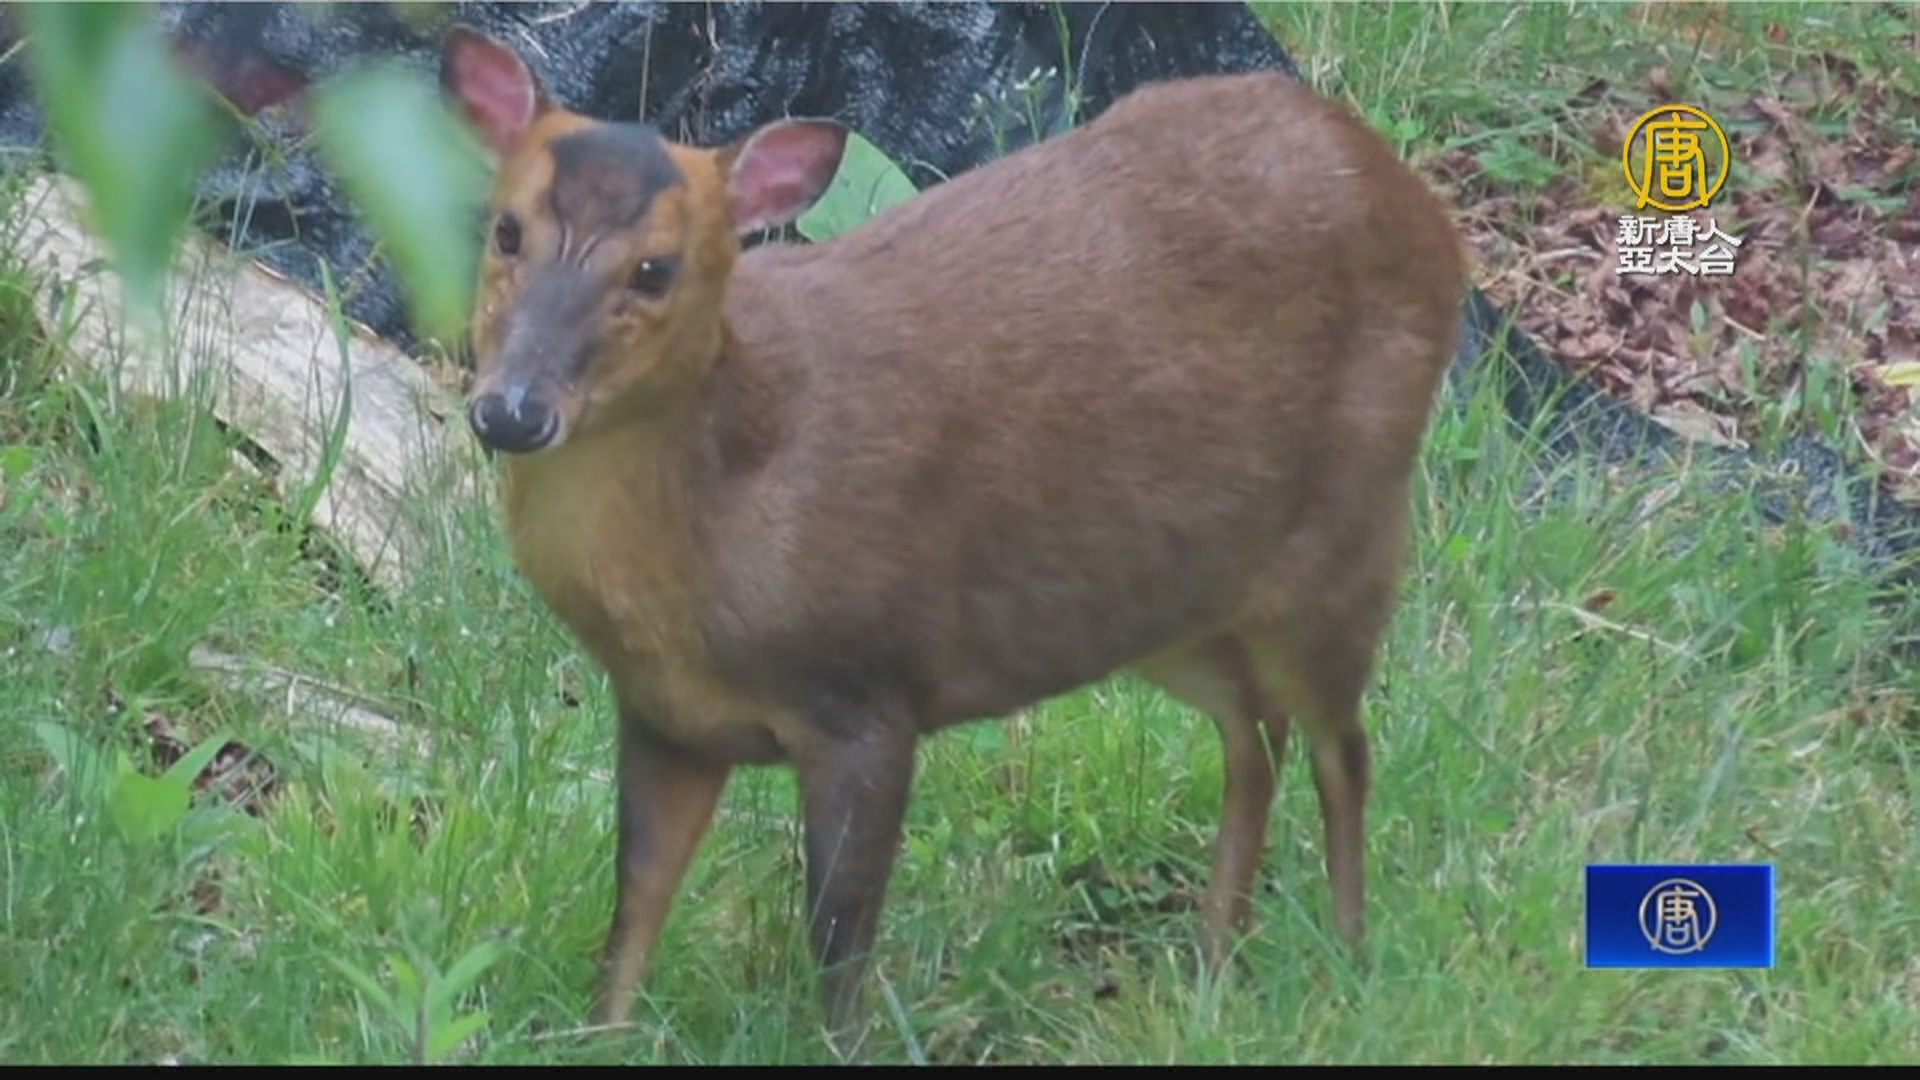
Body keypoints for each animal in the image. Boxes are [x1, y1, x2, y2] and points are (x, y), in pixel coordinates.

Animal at [439, 23, 1465, 1050]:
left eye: (654, 269)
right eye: (506, 230)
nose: (513, 411)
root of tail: (1421, 208)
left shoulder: (869, 695)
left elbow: (839, 941)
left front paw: (844, 1045)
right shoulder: (664, 713)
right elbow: (634, 912)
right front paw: (593, 1035)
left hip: (1350, 534)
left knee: (1343, 749)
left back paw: (1345, 962)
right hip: (1165, 599)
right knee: (1257, 733)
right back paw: (1213, 964)